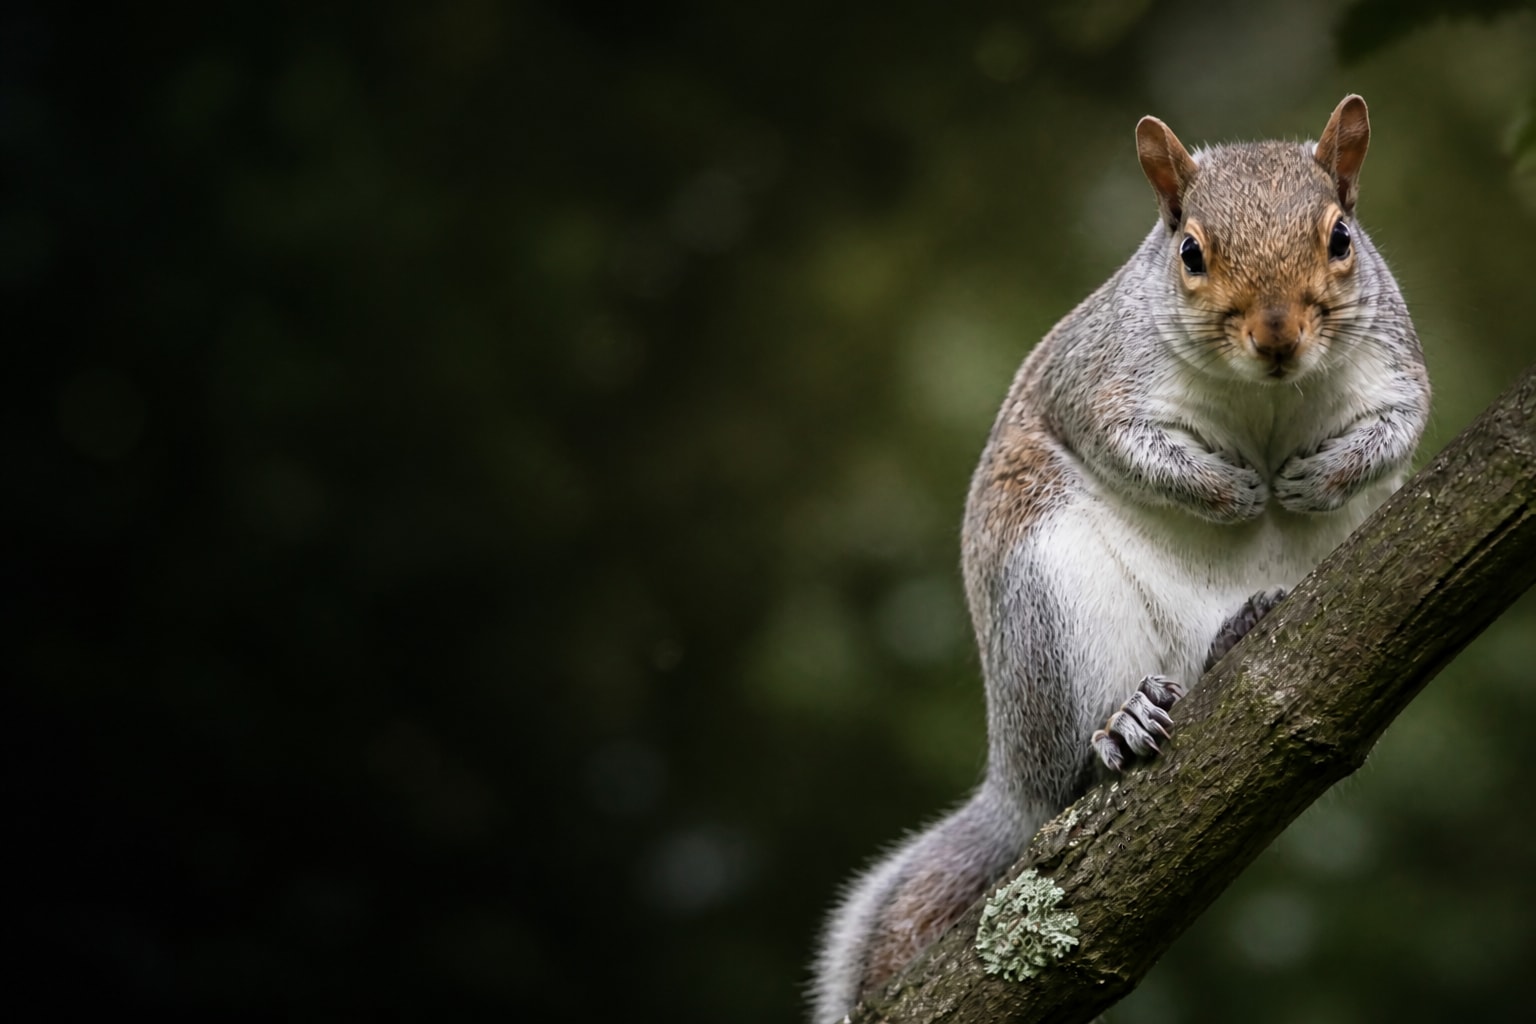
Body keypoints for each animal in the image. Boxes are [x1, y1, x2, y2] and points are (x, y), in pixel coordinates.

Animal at [811, 95, 1430, 1022]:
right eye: (1191, 252)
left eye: (1342, 238)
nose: (1278, 335)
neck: (1267, 396)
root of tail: (1014, 778)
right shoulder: (1099, 375)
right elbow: (1126, 445)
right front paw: (1232, 492)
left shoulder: (1395, 364)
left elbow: (1400, 428)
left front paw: (1316, 479)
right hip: (1053, 602)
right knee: (1074, 765)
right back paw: (1122, 724)